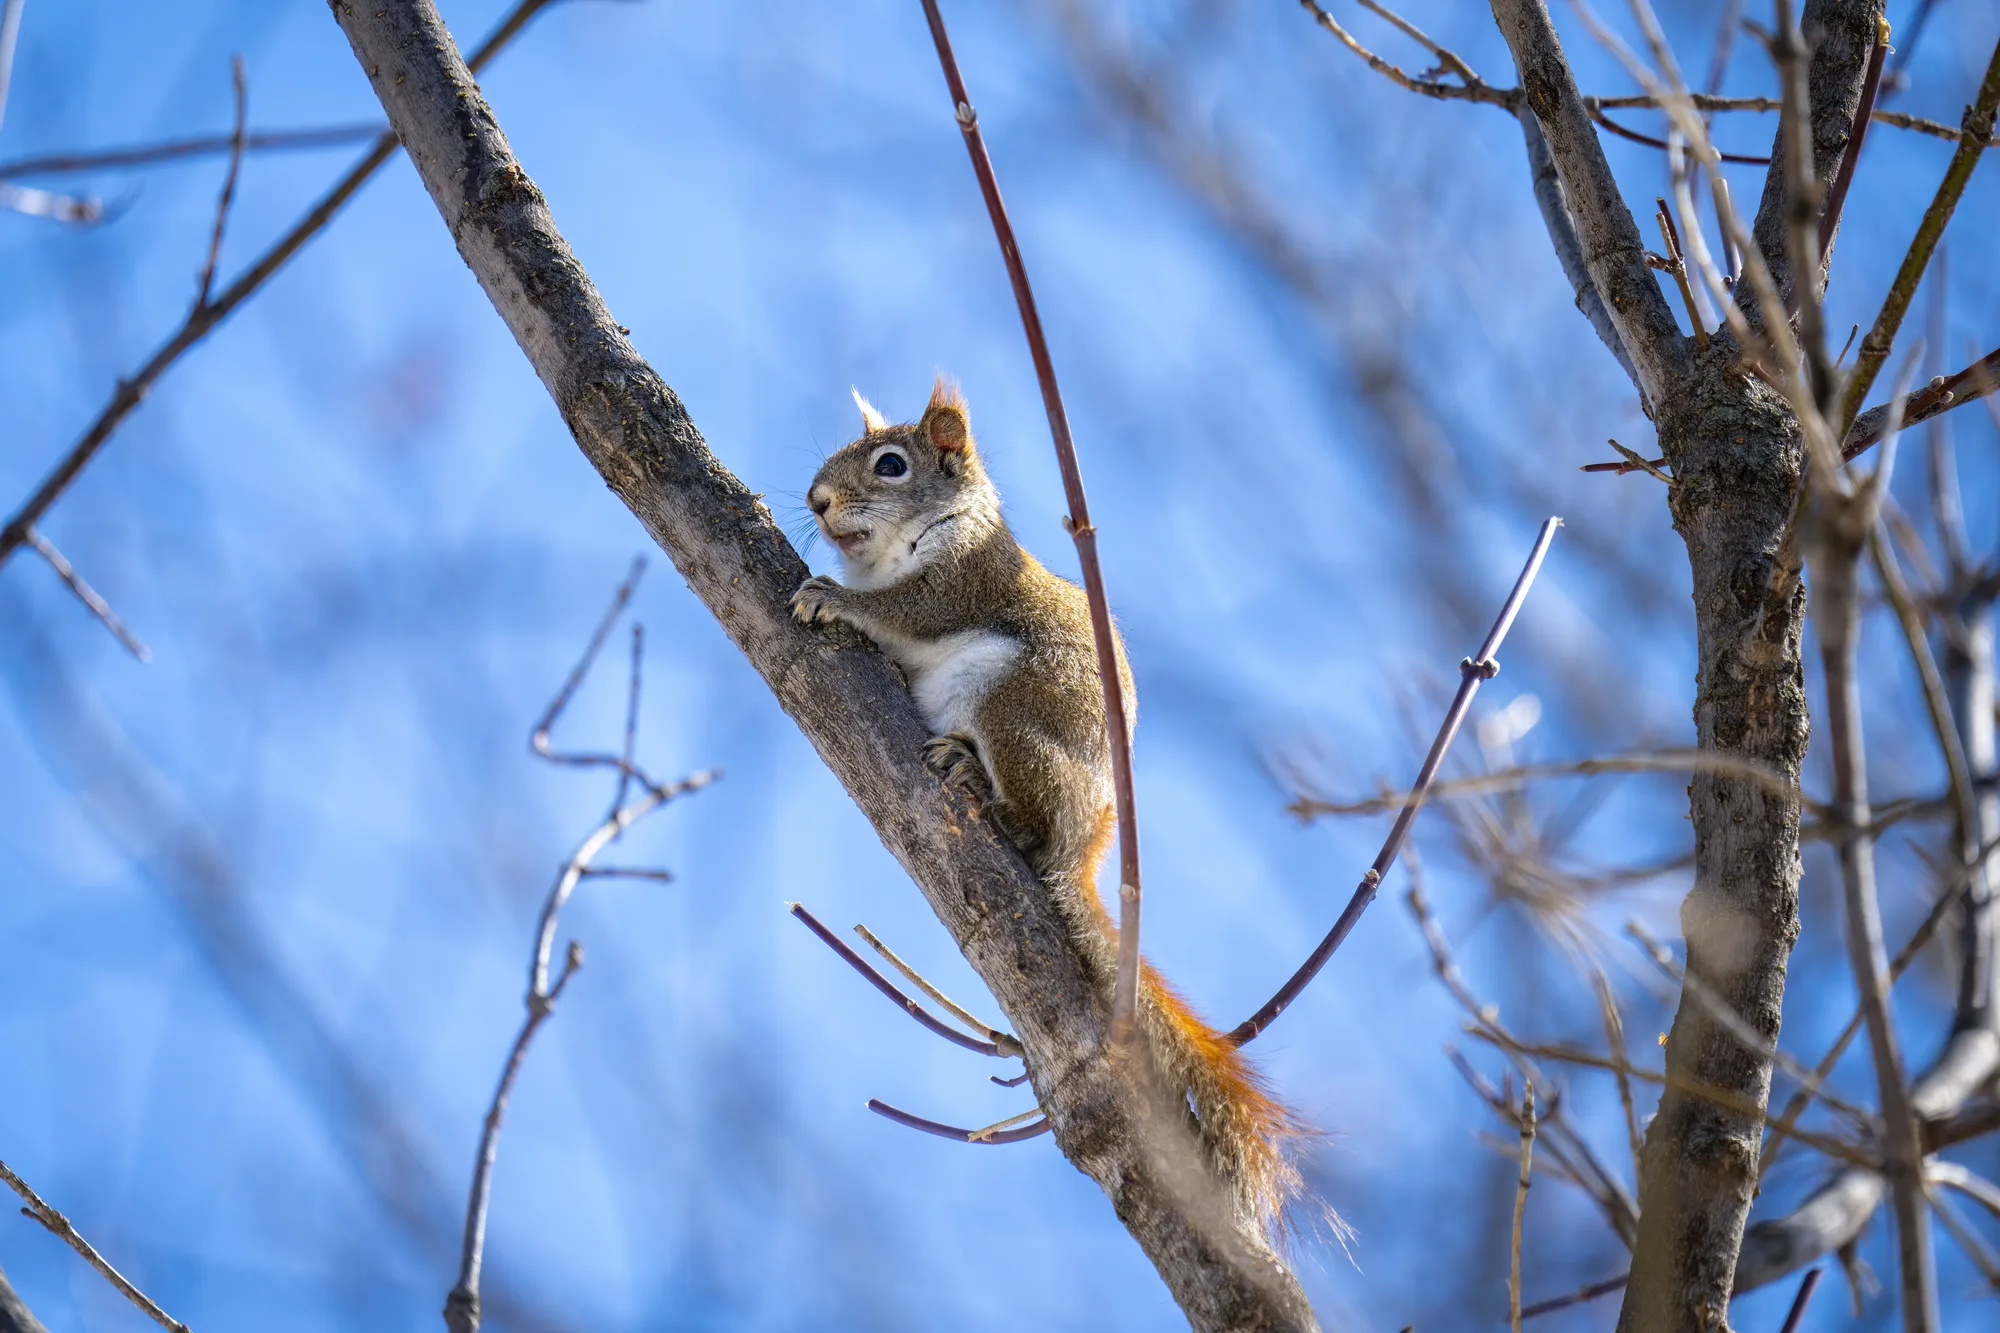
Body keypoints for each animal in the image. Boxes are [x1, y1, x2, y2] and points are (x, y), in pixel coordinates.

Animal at [790, 378, 1303, 1228]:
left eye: (891, 464)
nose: (817, 499)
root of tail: (1084, 850)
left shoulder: (962, 580)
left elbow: (905, 610)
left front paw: (830, 595)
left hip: (1016, 705)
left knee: (1029, 823)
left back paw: (978, 782)